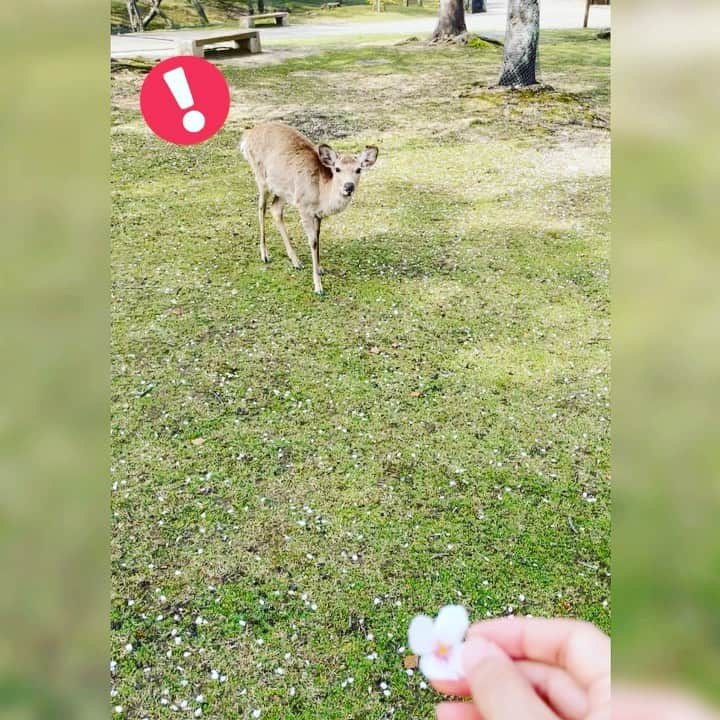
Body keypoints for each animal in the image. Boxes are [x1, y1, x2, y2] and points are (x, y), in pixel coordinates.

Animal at [240, 122, 380, 294]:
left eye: (359, 169)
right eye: (337, 169)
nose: (349, 186)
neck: (321, 196)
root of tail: (247, 136)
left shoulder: (317, 214)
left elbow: (318, 238)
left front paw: (320, 268)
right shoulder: (304, 207)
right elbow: (312, 241)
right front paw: (318, 287)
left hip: (283, 191)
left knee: (275, 209)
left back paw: (296, 261)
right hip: (261, 177)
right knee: (261, 208)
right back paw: (265, 255)